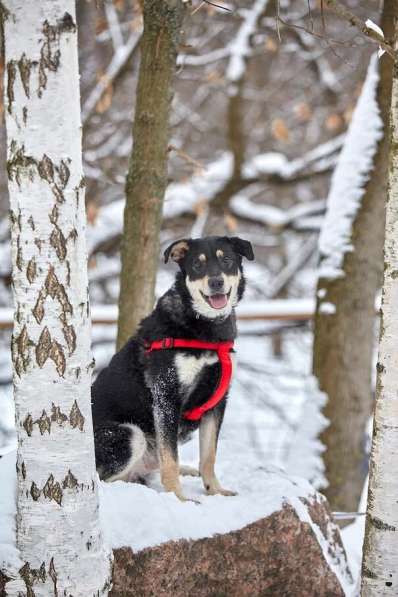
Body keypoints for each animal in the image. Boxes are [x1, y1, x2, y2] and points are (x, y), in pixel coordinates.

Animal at [91, 235, 253, 500]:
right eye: (197, 265)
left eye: (227, 260)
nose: (216, 282)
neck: (204, 328)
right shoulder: (167, 396)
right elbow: (170, 460)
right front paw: (178, 498)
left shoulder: (217, 402)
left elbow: (208, 457)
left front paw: (215, 490)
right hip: (130, 435)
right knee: (106, 479)